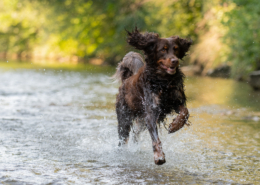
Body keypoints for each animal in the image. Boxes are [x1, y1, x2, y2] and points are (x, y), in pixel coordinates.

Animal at [112, 27, 192, 165]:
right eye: (163, 50)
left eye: (176, 49)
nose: (175, 61)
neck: (164, 81)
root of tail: (126, 80)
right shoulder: (151, 112)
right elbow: (155, 138)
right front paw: (159, 156)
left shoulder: (174, 102)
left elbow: (185, 112)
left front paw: (174, 126)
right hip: (124, 120)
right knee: (123, 140)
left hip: (140, 122)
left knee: (135, 136)